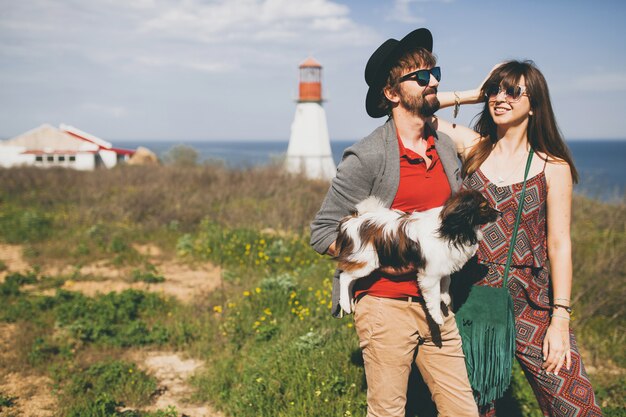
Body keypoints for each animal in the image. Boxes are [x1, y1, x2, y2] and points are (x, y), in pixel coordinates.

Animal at [334, 189, 500, 324]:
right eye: (484, 207)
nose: (501, 213)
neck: (451, 228)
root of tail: (352, 220)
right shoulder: (430, 275)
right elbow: (434, 297)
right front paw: (437, 318)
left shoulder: (443, 264)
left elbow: (447, 280)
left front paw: (446, 297)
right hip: (365, 263)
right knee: (345, 277)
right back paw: (345, 304)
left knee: (351, 281)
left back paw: (350, 302)